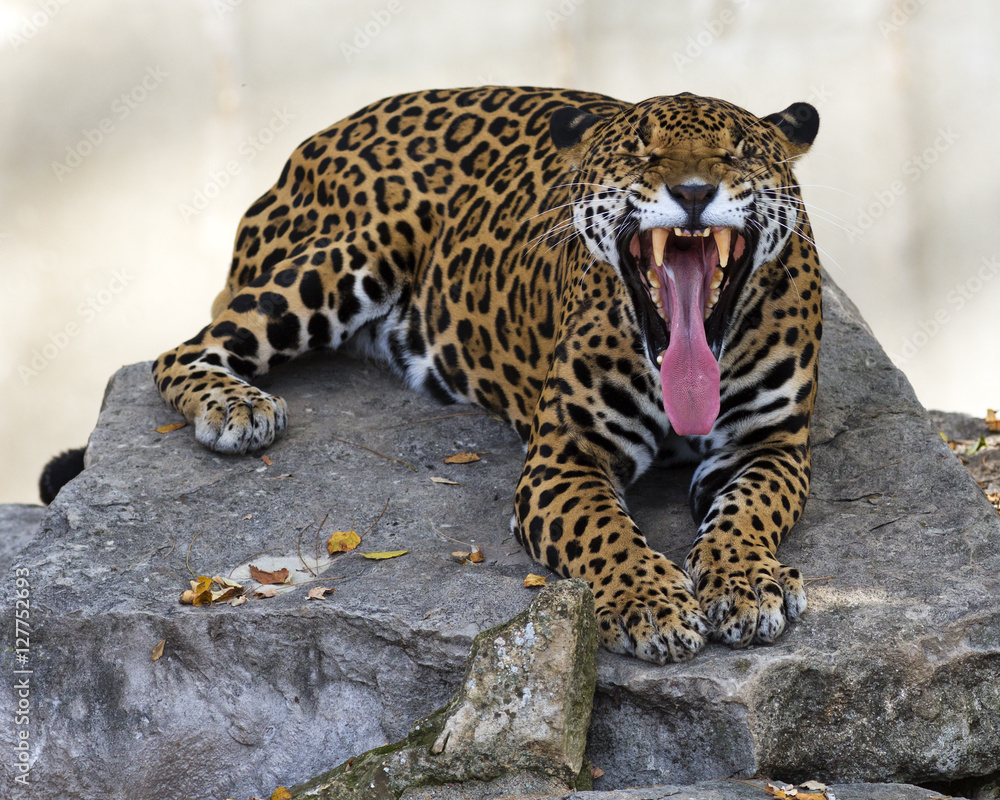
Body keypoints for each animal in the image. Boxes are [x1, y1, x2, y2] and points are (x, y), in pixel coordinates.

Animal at [152, 86, 822, 664]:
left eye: (739, 150)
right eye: (640, 150)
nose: (693, 191)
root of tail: (315, 139)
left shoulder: (771, 447)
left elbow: (748, 511)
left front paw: (746, 584)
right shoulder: (565, 458)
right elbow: (607, 533)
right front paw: (651, 605)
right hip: (341, 258)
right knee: (178, 352)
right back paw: (237, 407)